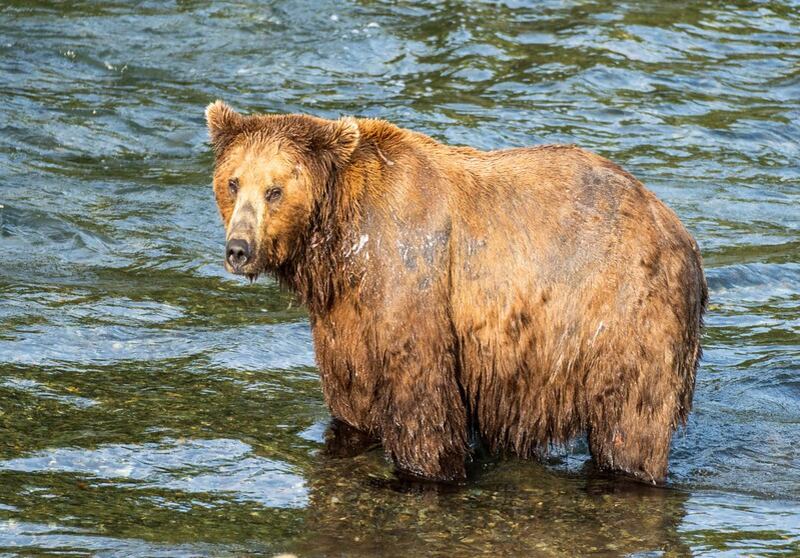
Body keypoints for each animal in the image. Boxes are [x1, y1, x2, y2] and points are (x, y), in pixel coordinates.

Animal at [205, 100, 707, 484]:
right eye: (233, 181)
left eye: (274, 189)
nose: (239, 249)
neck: (337, 242)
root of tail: (682, 234)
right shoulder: (345, 317)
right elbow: (351, 397)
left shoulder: (409, 276)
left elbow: (422, 398)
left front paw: (426, 471)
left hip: (624, 311)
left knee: (631, 424)